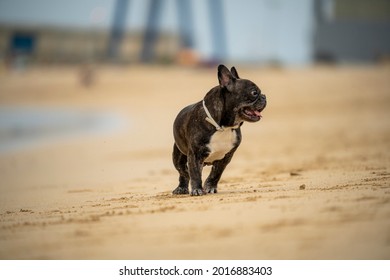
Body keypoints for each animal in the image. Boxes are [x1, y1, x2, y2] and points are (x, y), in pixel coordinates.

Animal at [172, 65, 266, 197]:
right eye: (254, 93)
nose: (264, 96)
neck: (223, 127)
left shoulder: (226, 157)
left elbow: (216, 173)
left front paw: (210, 187)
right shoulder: (194, 155)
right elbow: (194, 173)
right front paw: (197, 189)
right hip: (178, 155)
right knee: (182, 171)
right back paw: (181, 188)